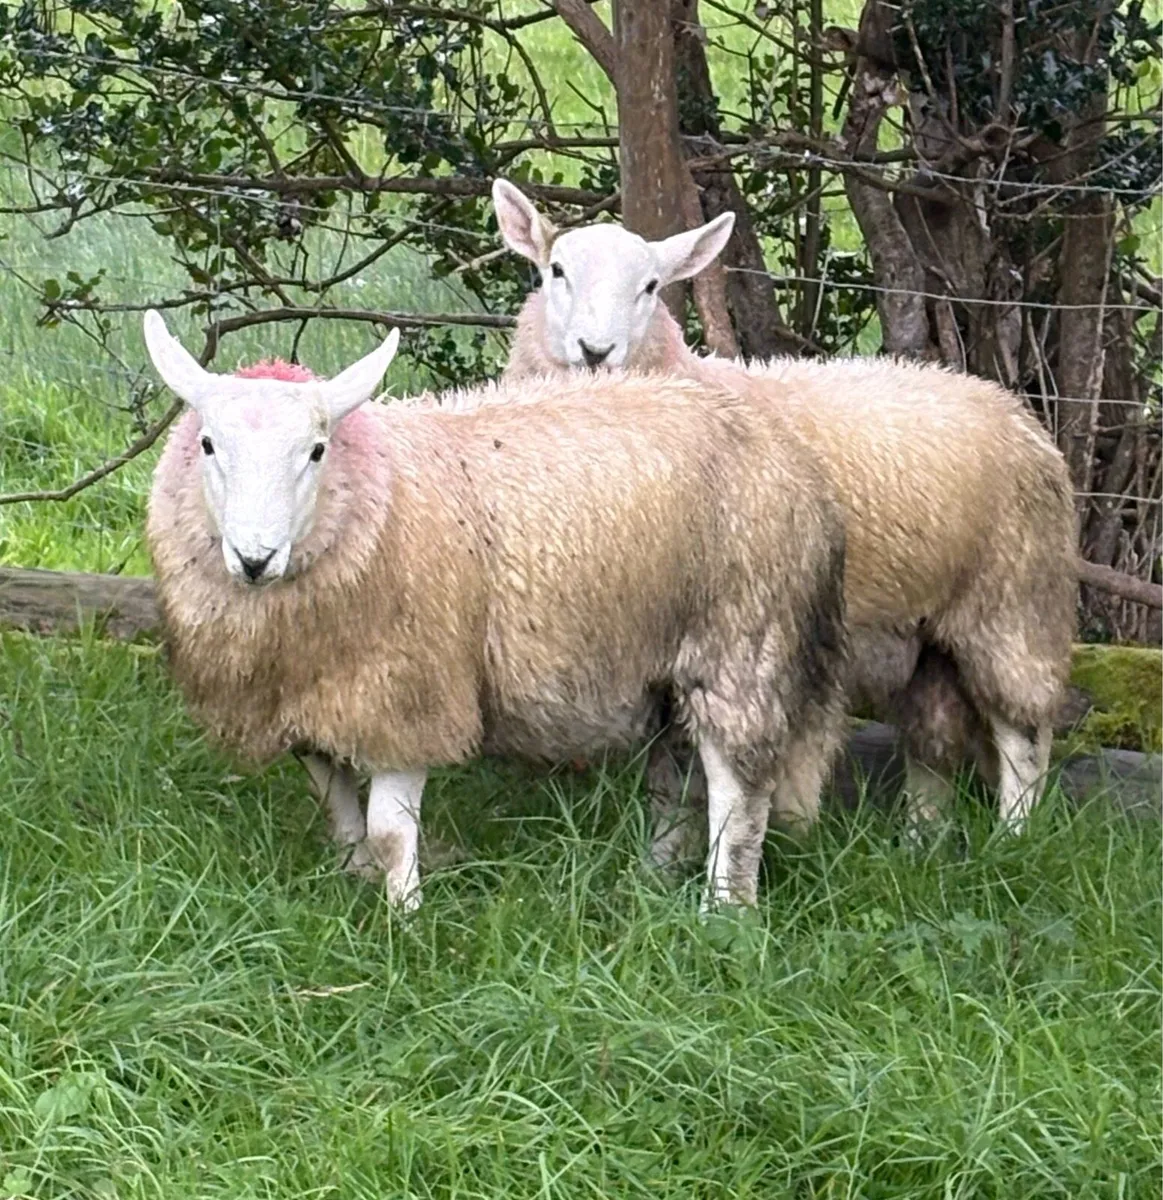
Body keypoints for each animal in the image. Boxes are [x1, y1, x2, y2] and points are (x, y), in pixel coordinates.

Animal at [141, 309, 850, 912]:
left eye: (317, 450)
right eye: (208, 445)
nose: (254, 558)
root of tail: (786, 453)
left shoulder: (411, 696)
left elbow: (390, 831)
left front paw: (402, 922)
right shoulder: (308, 703)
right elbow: (338, 812)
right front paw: (353, 879)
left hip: (741, 638)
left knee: (738, 791)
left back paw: (723, 908)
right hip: (665, 659)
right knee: (676, 777)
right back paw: (654, 873)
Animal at [491, 177, 1078, 857]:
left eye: (652, 286)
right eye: (556, 270)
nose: (595, 351)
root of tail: (1013, 406)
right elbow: (669, 767)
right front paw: (661, 855)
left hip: (1015, 601)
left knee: (1024, 735)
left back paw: (1013, 836)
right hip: (927, 625)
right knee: (934, 738)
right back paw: (919, 841)